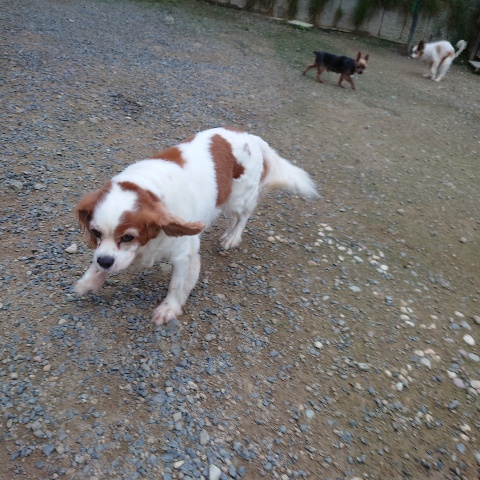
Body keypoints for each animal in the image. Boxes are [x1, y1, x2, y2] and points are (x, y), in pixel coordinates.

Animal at [74, 127, 318, 326]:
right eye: (96, 232)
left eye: (128, 237)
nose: (106, 262)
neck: (150, 190)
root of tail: (252, 138)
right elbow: (96, 261)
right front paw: (90, 280)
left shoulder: (185, 254)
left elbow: (177, 284)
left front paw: (168, 310)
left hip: (238, 200)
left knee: (242, 218)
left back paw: (232, 237)